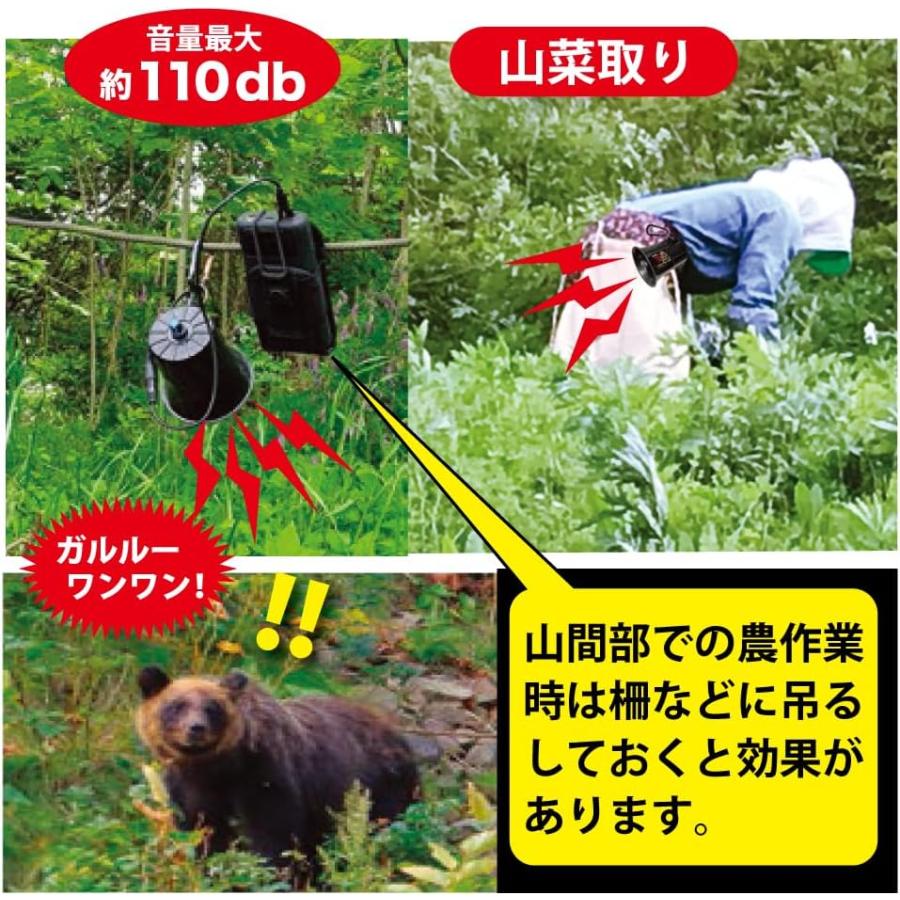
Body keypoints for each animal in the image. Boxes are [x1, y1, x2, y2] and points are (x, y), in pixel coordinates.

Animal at [135, 667, 418, 878]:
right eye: (177, 705)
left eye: (212, 707)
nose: (196, 728)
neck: (216, 768)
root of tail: (397, 735)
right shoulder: (187, 789)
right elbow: (201, 831)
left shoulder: (265, 775)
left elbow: (273, 834)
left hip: (375, 791)